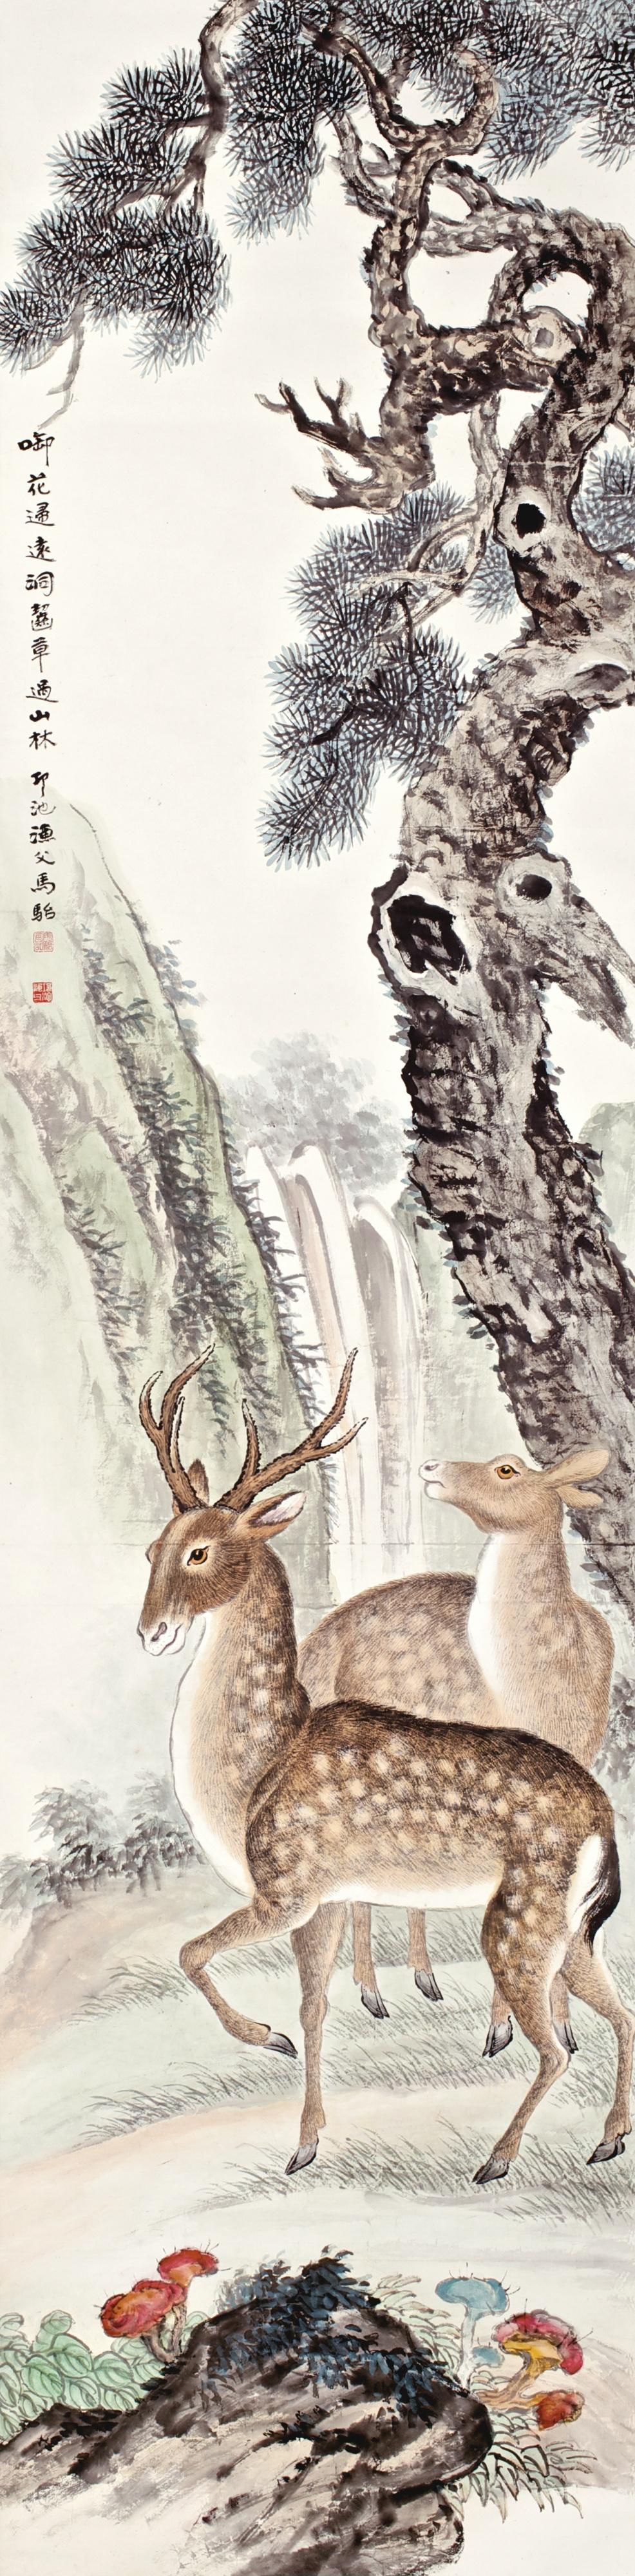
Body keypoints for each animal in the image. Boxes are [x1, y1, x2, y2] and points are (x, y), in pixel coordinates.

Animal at [299, 1444, 615, 2059]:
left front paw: (561, 2028)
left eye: (507, 1468)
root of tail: (314, 1645)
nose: (431, 1468)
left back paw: (425, 1981)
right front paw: (501, 2032)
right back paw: (374, 1995)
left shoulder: (579, 1763)